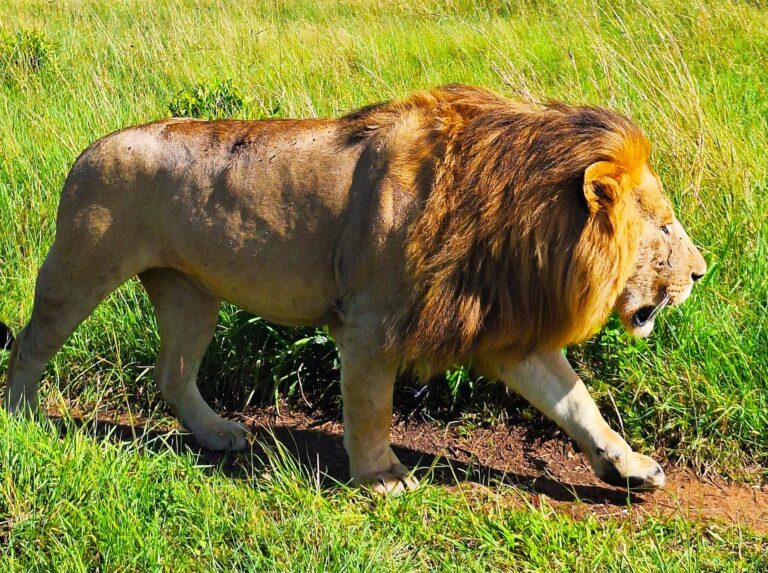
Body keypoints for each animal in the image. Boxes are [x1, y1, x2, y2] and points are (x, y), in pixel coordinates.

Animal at [5, 85, 706, 493]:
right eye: (665, 226)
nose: (702, 274)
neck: (515, 221)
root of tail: (88, 149)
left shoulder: (502, 326)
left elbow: (577, 404)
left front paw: (629, 467)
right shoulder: (371, 320)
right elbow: (371, 406)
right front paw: (383, 476)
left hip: (189, 292)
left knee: (172, 375)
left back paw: (218, 434)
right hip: (81, 265)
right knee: (31, 343)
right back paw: (22, 416)